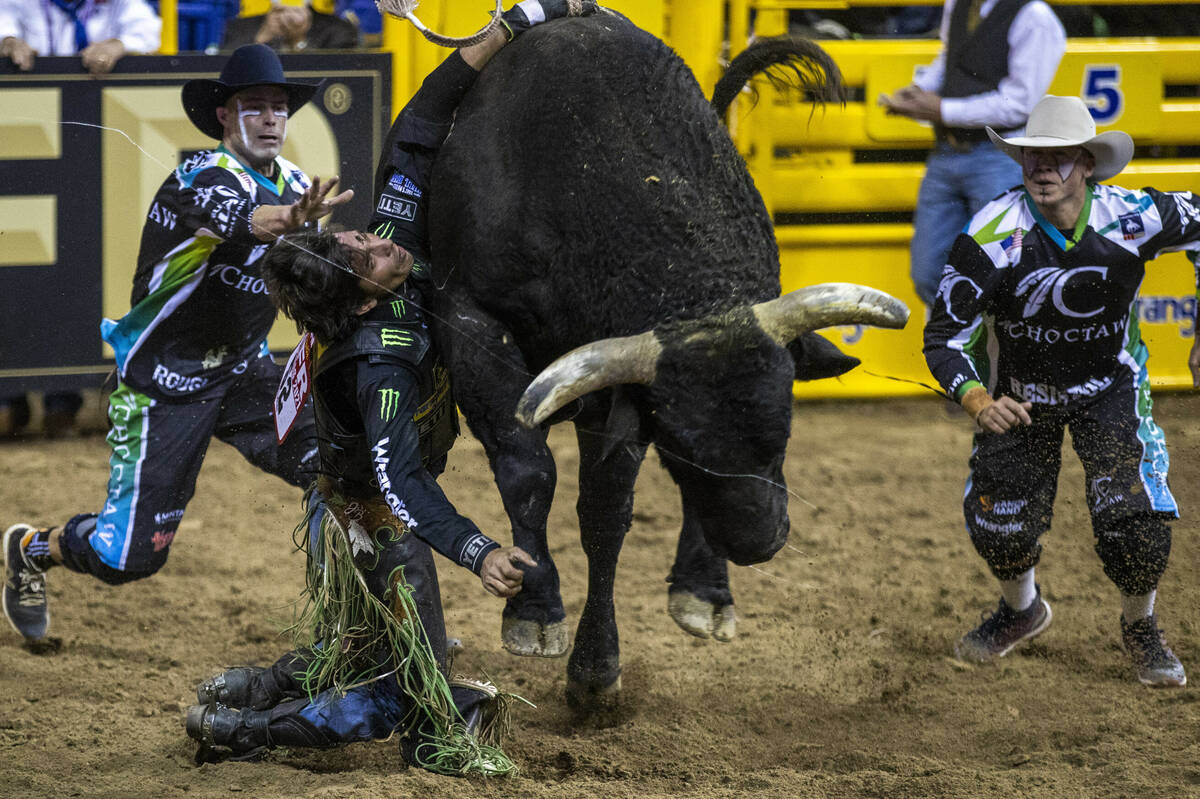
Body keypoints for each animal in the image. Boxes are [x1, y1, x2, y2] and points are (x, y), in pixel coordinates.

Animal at [427, 15, 902, 705]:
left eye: (785, 429)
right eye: (680, 447)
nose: (761, 540)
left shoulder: (614, 401)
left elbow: (605, 512)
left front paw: (598, 667)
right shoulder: (473, 323)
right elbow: (528, 474)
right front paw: (536, 614)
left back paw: (706, 591)